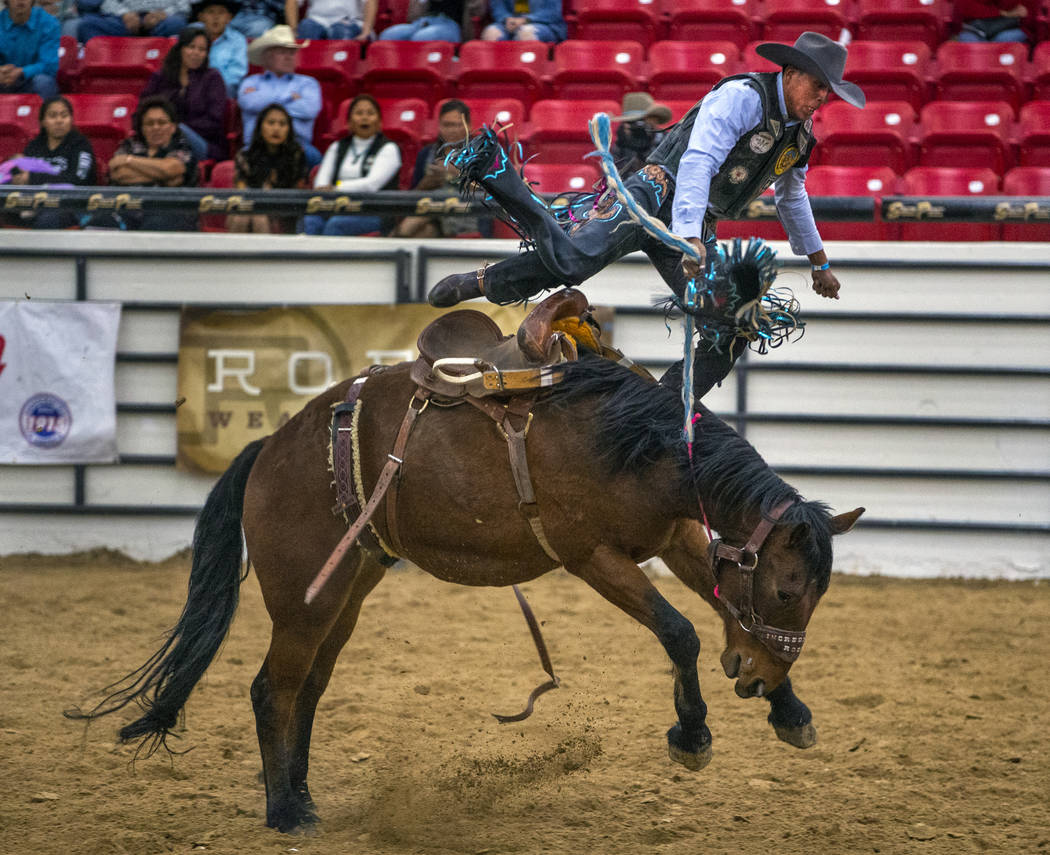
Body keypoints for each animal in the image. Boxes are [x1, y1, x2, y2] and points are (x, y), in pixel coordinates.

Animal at [67, 336, 860, 836]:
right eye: (786, 590)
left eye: (814, 596)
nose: (752, 679)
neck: (636, 444)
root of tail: (269, 448)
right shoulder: (590, 555)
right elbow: (681, 630)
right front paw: (692, 733)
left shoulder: (676, 537)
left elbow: (718, 611)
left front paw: (790, 710)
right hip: (301, 601)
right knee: (273, 689)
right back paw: (284, 812)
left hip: (345, 592)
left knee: (309, 690)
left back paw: (304, 797)